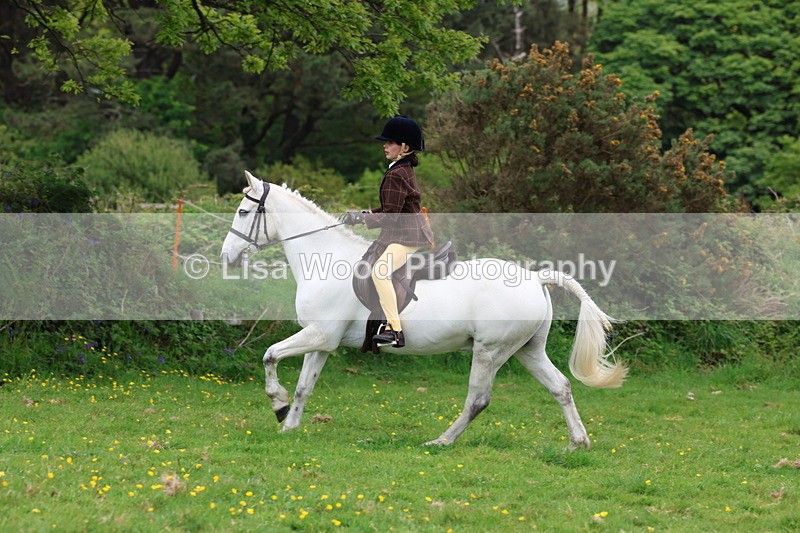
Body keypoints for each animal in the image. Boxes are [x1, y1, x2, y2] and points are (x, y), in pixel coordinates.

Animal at [220, 171, 627, 448]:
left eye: (242, 211)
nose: (227, 258)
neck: (325, 259)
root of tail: (535, 278)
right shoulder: (322, 340)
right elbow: (305, 385)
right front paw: (289, 424)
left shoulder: (319, 335)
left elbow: (270, 355)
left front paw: (277, 404)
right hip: (528, 350)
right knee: (561, 387)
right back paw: (578, 442)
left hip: (490, 351)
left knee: (478, 399)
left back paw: (441, 442)